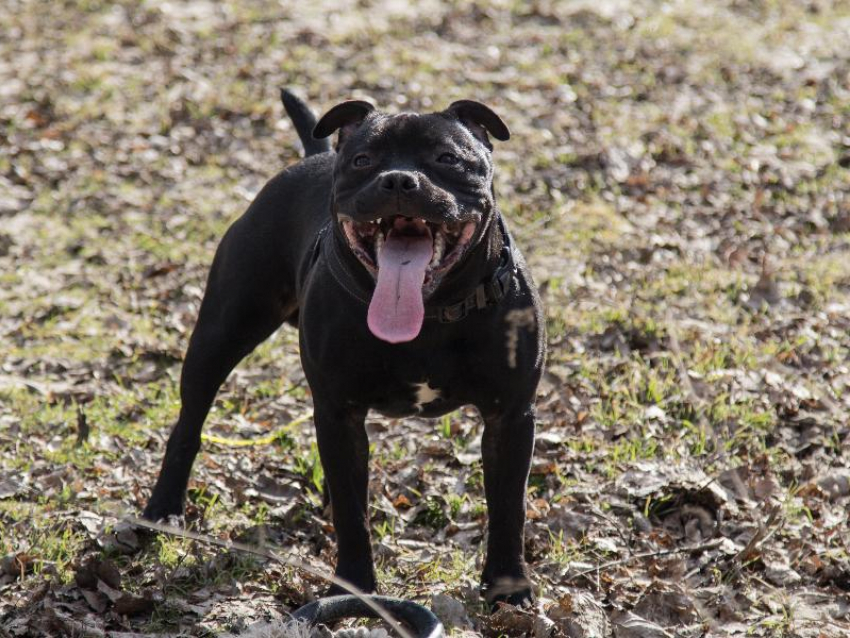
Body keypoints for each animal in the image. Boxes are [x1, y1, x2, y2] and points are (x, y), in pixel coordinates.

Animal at [142, 89, 544, 604]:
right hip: (220, 335)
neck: (430, 313)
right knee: (189, 423)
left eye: (447, 159)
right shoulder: (338, 411)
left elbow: (509, 508)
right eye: (362, 160)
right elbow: (354, 516)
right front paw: (355, 588)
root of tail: (312, 156)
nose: (399, 179)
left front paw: (509, 588)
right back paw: (163, 508)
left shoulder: (510, 418)